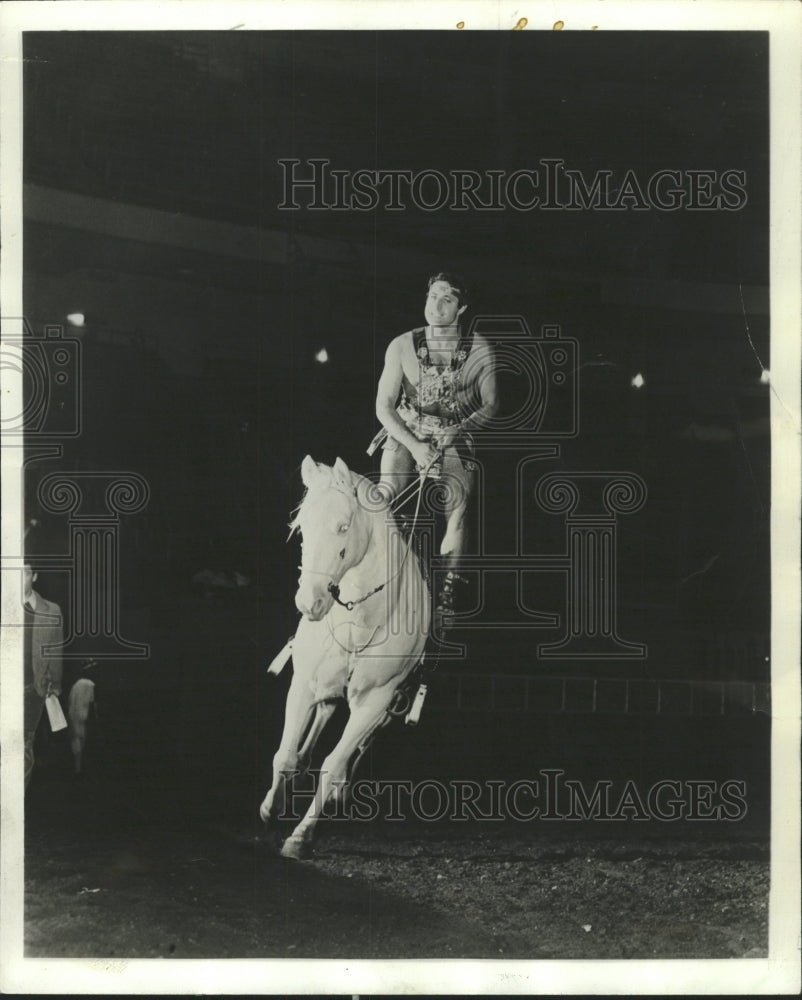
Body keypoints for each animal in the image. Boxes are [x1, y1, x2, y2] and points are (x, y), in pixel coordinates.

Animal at [260, 458, 428, 856]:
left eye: (343, 526)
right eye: (302, 527)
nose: (310, 603)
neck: (359, 621)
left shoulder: (376, 701)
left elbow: (334, 763)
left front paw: (300, 835)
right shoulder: (304, 683)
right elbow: (285, 753)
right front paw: (271, 808)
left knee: (358, 745)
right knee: (321, 715)